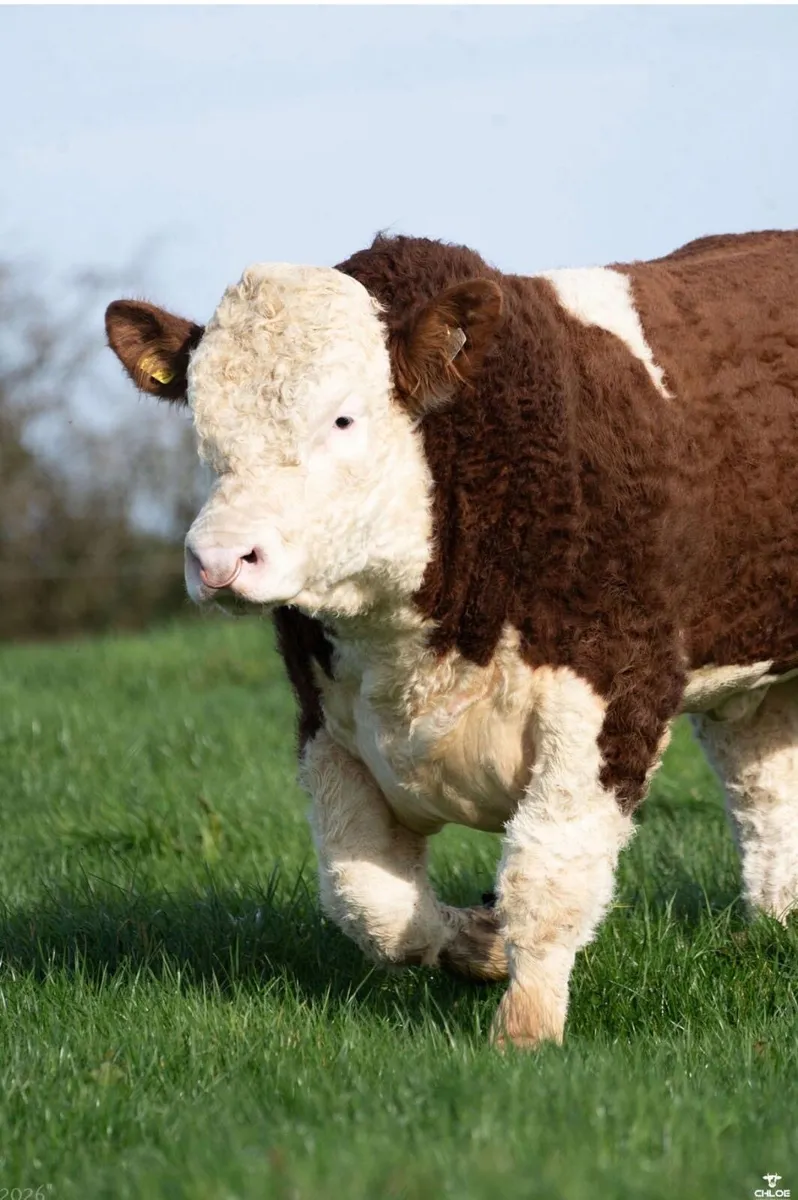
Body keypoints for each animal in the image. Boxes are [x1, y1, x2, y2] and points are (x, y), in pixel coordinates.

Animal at [105, 228, 798, 1049]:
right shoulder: (327, 724)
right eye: (205, 428)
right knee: (766, 792)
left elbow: (547, 876)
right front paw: (478, 943)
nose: (218, 560)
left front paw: (525, 1031)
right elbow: (370, 902)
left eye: (343, 419)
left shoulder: (613, 693)